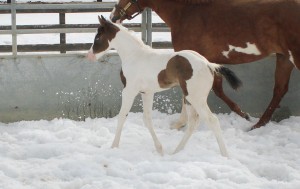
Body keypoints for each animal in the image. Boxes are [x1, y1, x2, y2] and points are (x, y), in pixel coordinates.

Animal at [86, 15, 241, 156]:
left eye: (98, 37)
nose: (89, 56)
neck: (134, 55)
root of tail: (209, 65)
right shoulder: (146, 93)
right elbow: (147, 119)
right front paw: (159, 149)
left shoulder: (129, 91)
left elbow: (122, 116)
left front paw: (114, 147)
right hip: (189, 98)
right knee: (193, 122)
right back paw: (176, 152)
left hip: (196, 98)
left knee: (212, 121)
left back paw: (225, 156)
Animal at [110, 0, 300, 129]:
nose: (113, 16)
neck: (186, 13)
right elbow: (217, 89)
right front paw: (244, 115)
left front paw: (180, 123)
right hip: (284, 58)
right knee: (279, 90)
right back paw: (257, 124)